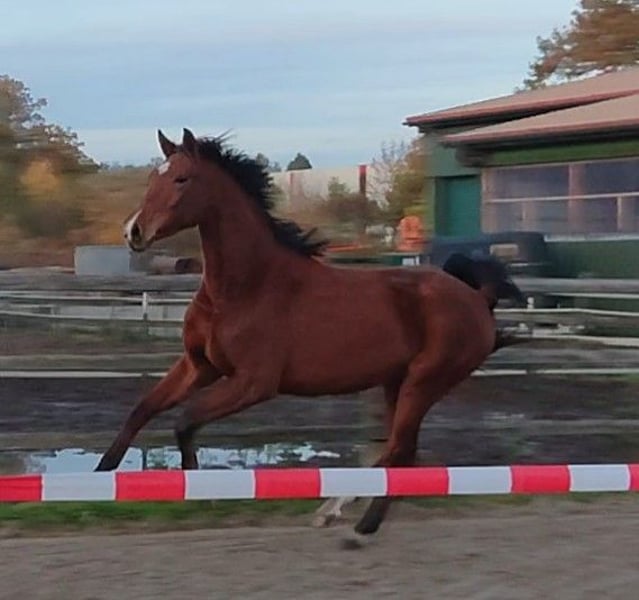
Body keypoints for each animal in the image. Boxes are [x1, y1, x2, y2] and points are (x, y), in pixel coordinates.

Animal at [95, 128, 525, 542]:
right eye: (153, 178)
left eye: (182, 179)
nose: (134, 231)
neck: (245, 287)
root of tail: (477, 296)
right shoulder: (198, 366)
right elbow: (142, 410)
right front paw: (100, 474)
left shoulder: (254, 383)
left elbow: (185, 422)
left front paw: (205, 494)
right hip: (396, 384)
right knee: (395, 454)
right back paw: (333, 512)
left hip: (424, 383)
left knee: (401, 452)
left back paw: (360, 527)